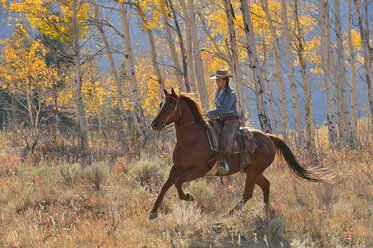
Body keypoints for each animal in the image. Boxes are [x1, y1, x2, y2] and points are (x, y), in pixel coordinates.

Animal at [148, 88, 328, 219]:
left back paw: (228, 214)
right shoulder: (176, 168)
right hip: (253, 171)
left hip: (253, 171)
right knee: (265, 185)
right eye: (160, 104)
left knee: (247, 194)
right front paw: (153, 212)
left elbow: (178, 183)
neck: (192, 139)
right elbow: (166, 185)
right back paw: (266, 211)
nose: (154, 124)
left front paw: (189, 197)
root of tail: (268, 137)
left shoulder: (199, 170)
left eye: (170, 106)